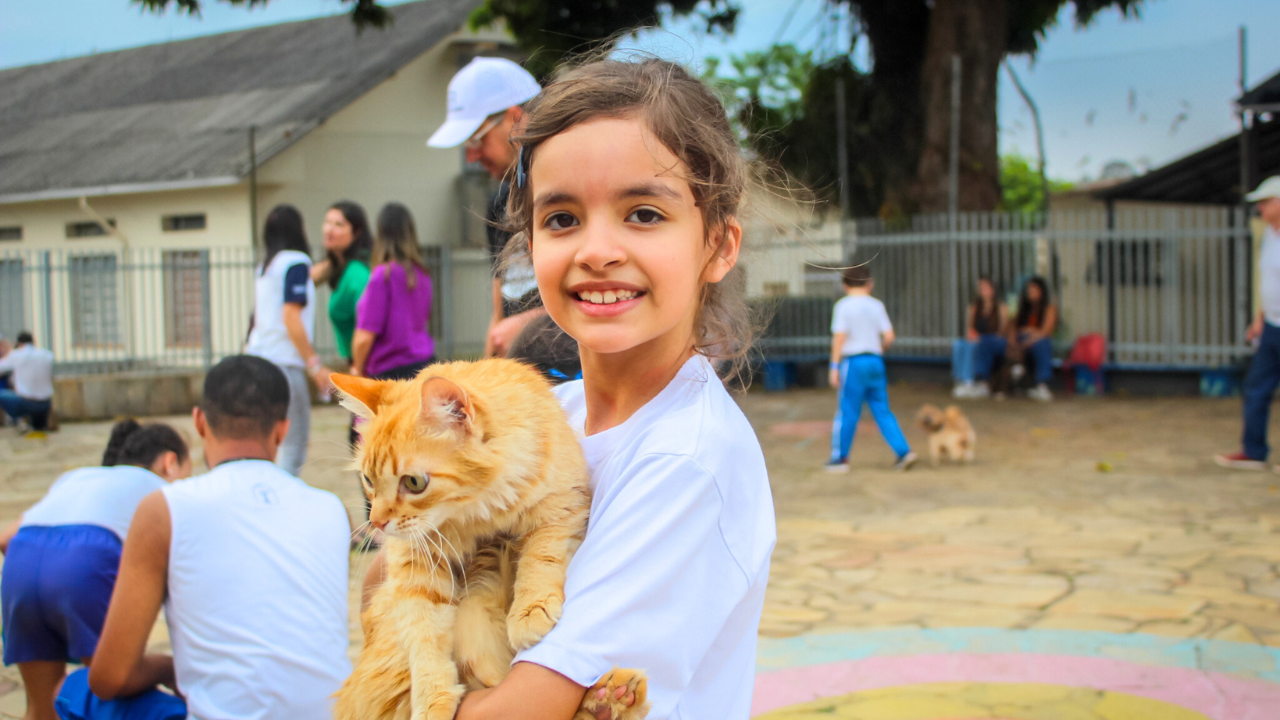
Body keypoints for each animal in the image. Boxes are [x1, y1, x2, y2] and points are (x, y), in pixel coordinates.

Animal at [330, 358, 650, 717]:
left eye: (413, 482)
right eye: (369, 480)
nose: (377, 522)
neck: (475, 512)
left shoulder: (561, 507)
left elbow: (540, 557)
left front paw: (530, 610)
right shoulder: (416, 564)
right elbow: (424, 638)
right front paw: (432, 701)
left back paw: (612, 697)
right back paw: (609, 699)